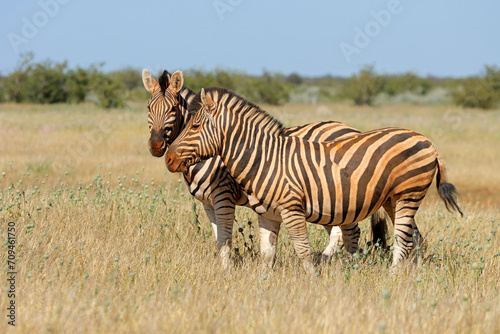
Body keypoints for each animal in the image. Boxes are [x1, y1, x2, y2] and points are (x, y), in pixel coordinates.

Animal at [143, 70, 388, 268]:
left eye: (173, 108)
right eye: (148, 108)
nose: (156, 145)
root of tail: (353, 130)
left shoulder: (223, 196)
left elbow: (225, 237)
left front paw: (227, 271)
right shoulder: (207, 203)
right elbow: (218, 237)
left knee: (347, 231)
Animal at [166, 87, 462, 272]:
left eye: (194, 126)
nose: (167, 158)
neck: (265, 159)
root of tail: (426, 140)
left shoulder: (290, 209)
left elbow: (303, 251)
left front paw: (311, 281)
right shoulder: (268, 214)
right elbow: (266, 254)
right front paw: (264, 286)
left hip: (408, 193)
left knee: (401, 238)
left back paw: (392, 276)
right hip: (393, 199)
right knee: (414, 236)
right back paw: (413, 276)